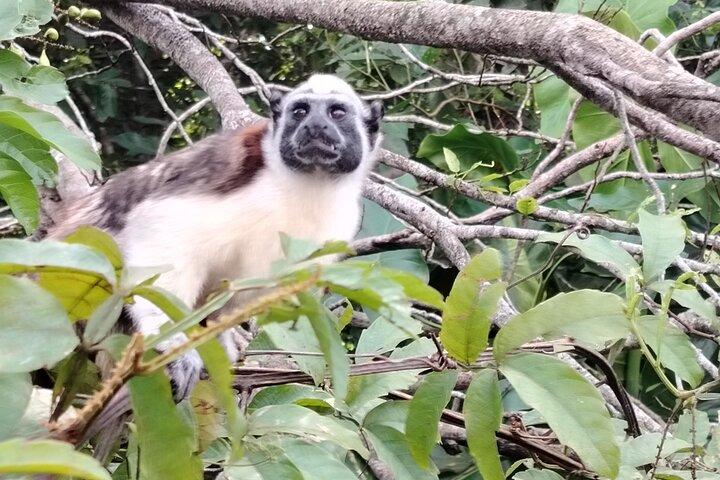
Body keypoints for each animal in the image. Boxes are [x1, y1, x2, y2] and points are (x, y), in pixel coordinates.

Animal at [48, 74, 384, 418]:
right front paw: (173, 341)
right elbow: (160, 224)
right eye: (301, 111)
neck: (309, 185)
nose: (315, 126)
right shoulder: (234, 177)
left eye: (336, 113)